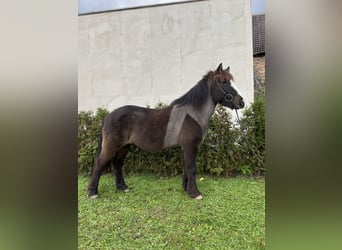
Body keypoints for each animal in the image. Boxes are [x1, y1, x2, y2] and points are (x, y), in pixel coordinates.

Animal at [87, 63, 243, 200]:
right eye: (223, 81)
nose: (241, 102)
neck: (191, 114)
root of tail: (108, 116)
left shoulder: (186, 148)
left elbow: (186, 167)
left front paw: (186, 188)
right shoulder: (190, 146)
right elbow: (191, 168)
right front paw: (195, 193)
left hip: (124, 146)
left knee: (118, 164)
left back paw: (122, 187)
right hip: (112, 146)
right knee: (99, 164)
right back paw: (92, 192)